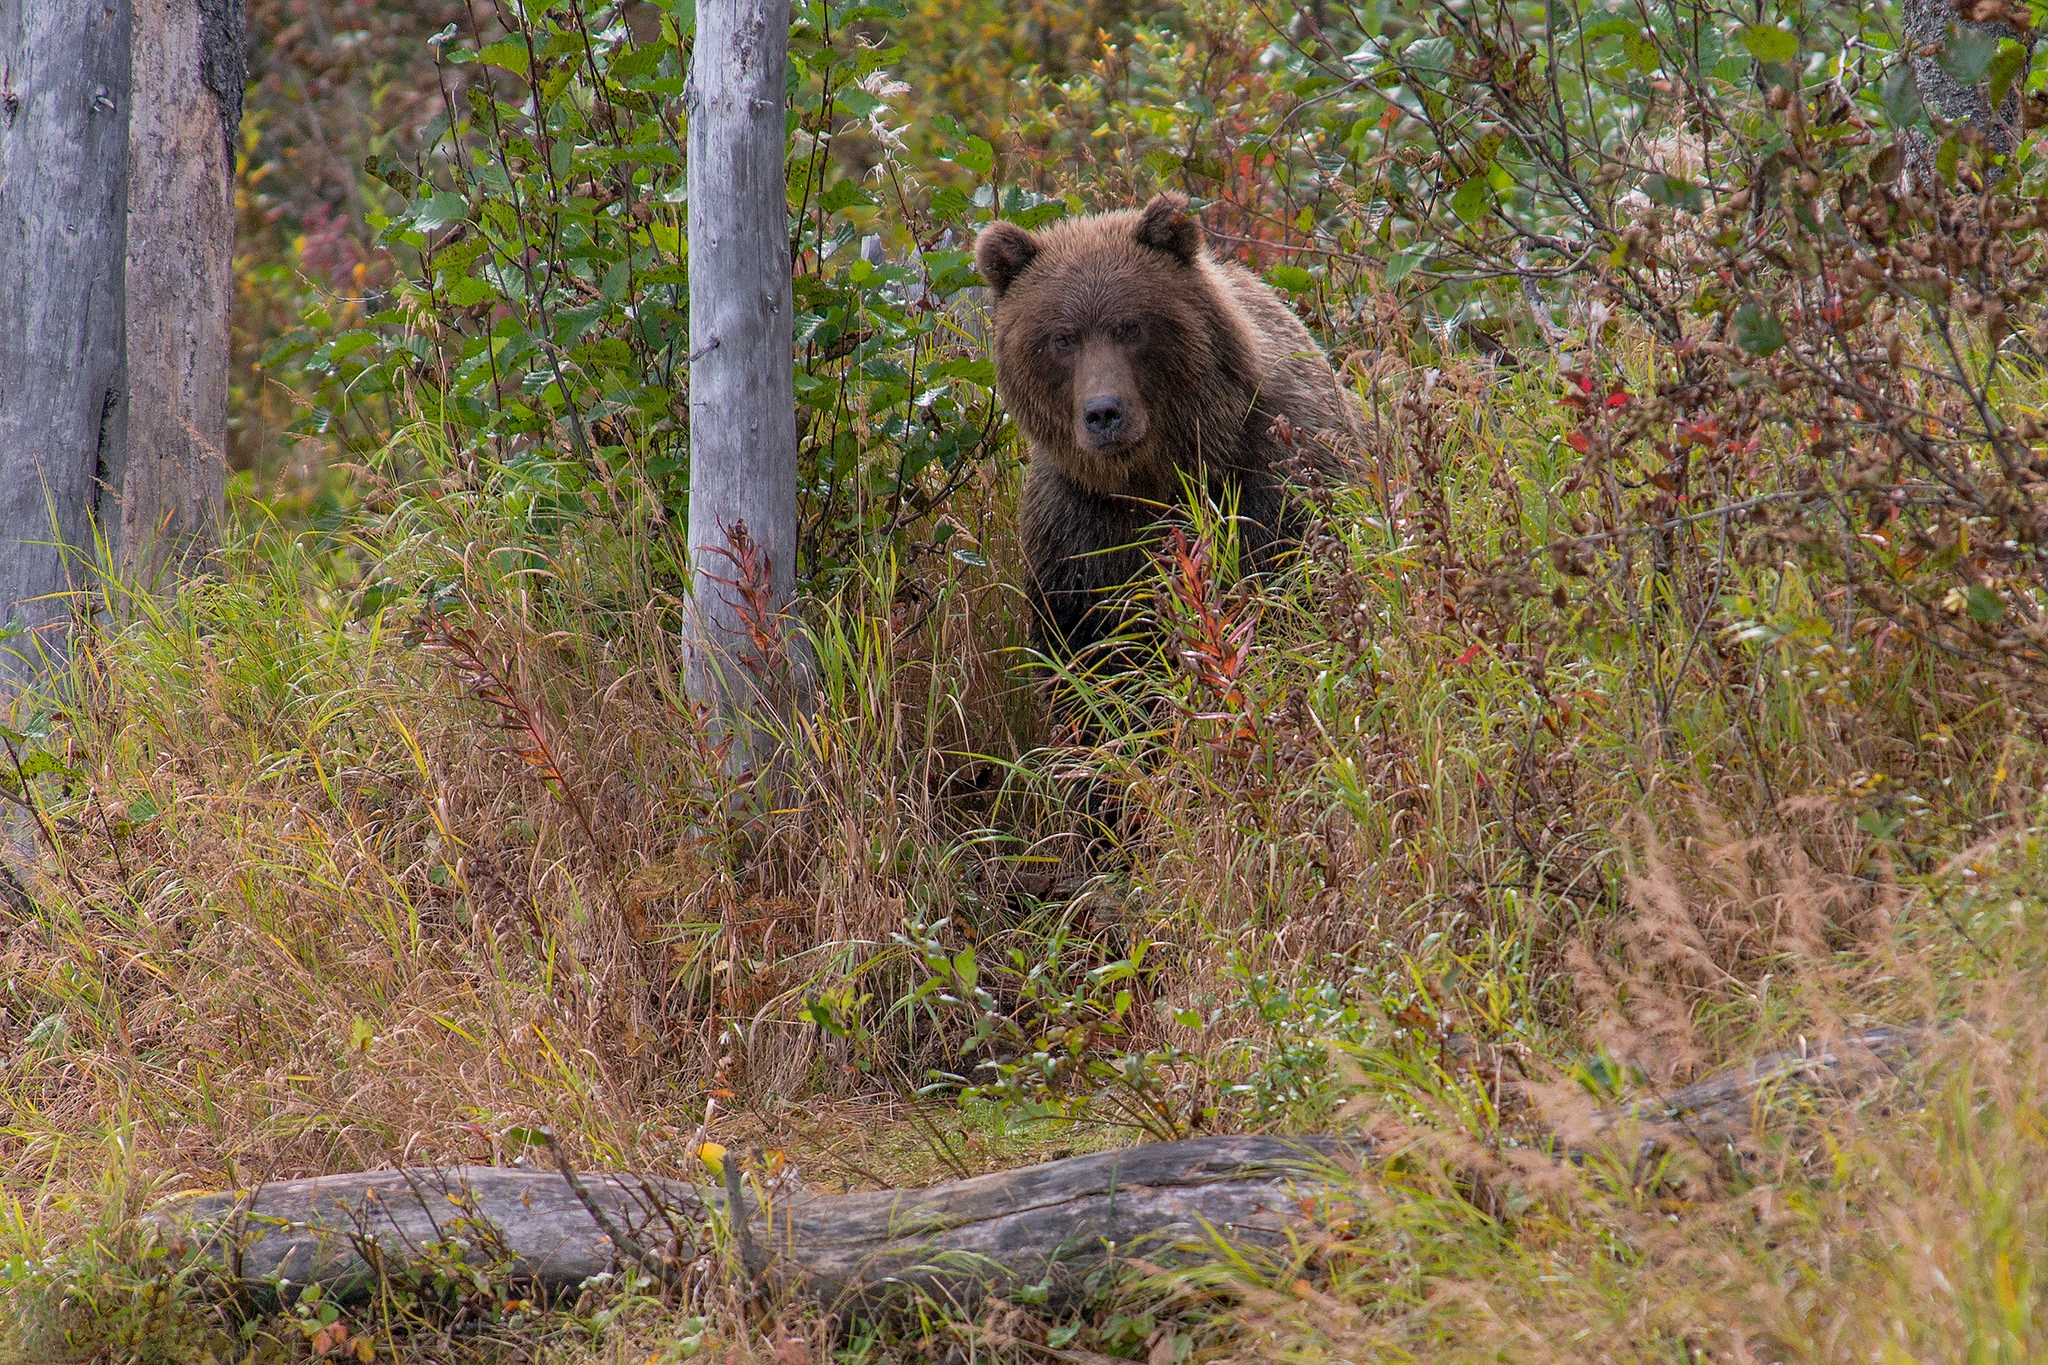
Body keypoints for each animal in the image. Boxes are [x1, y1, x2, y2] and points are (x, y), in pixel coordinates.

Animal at [974, 191, 1359, 663]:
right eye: (1062, 338)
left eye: (1130, 327)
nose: (1103, 413)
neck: (1159, 476)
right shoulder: (1077, 534)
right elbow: (1085, 648)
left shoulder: (1276, 480)